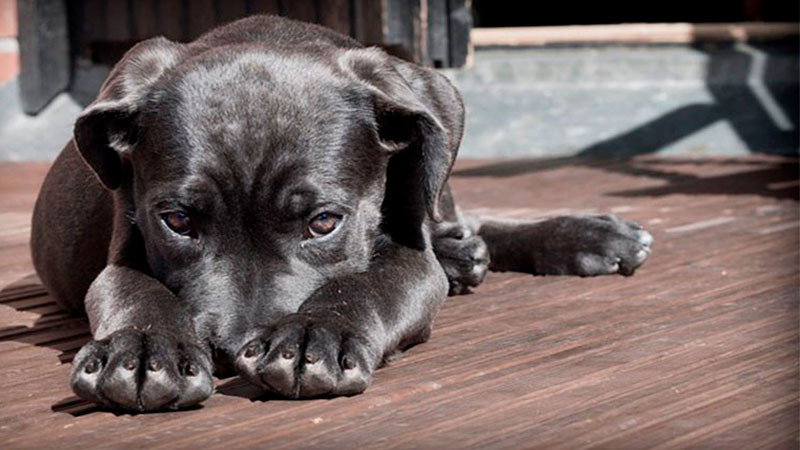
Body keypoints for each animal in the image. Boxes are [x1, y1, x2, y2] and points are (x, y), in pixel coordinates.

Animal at [31, 15, 652, 412]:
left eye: (324, 222)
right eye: (177, 221)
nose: (230, 352)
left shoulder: (408, 256)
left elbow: (367, 284)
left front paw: (315, 335)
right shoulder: (124, 248)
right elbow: (134, 290)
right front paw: (142, 350)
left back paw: (583, 237)